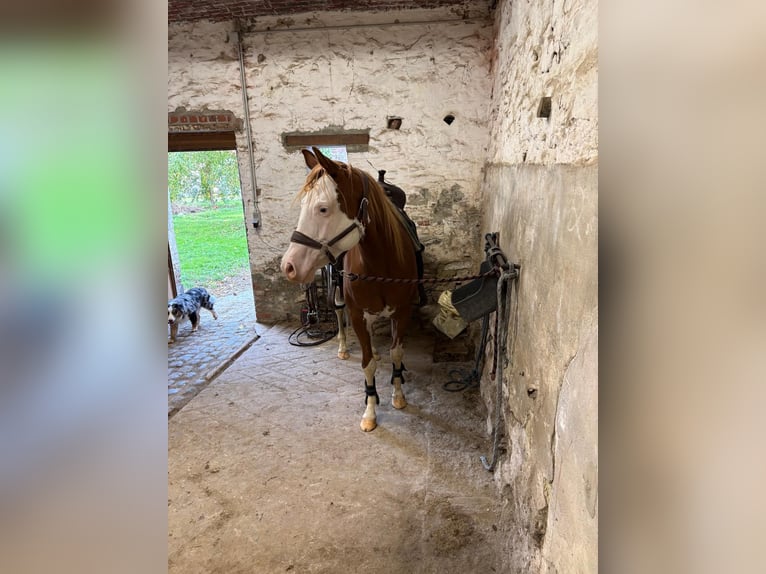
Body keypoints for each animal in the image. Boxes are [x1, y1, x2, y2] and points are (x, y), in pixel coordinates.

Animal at [281, 147, 418, 432]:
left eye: (323, 208)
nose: (288, 266)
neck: (381, 260)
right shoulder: (356, 313)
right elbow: (367, 365)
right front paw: (370, 410)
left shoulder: (402, 312)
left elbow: (396, 353)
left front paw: (398, 394)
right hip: (338, 290)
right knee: (338, 312)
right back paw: (343, 347)